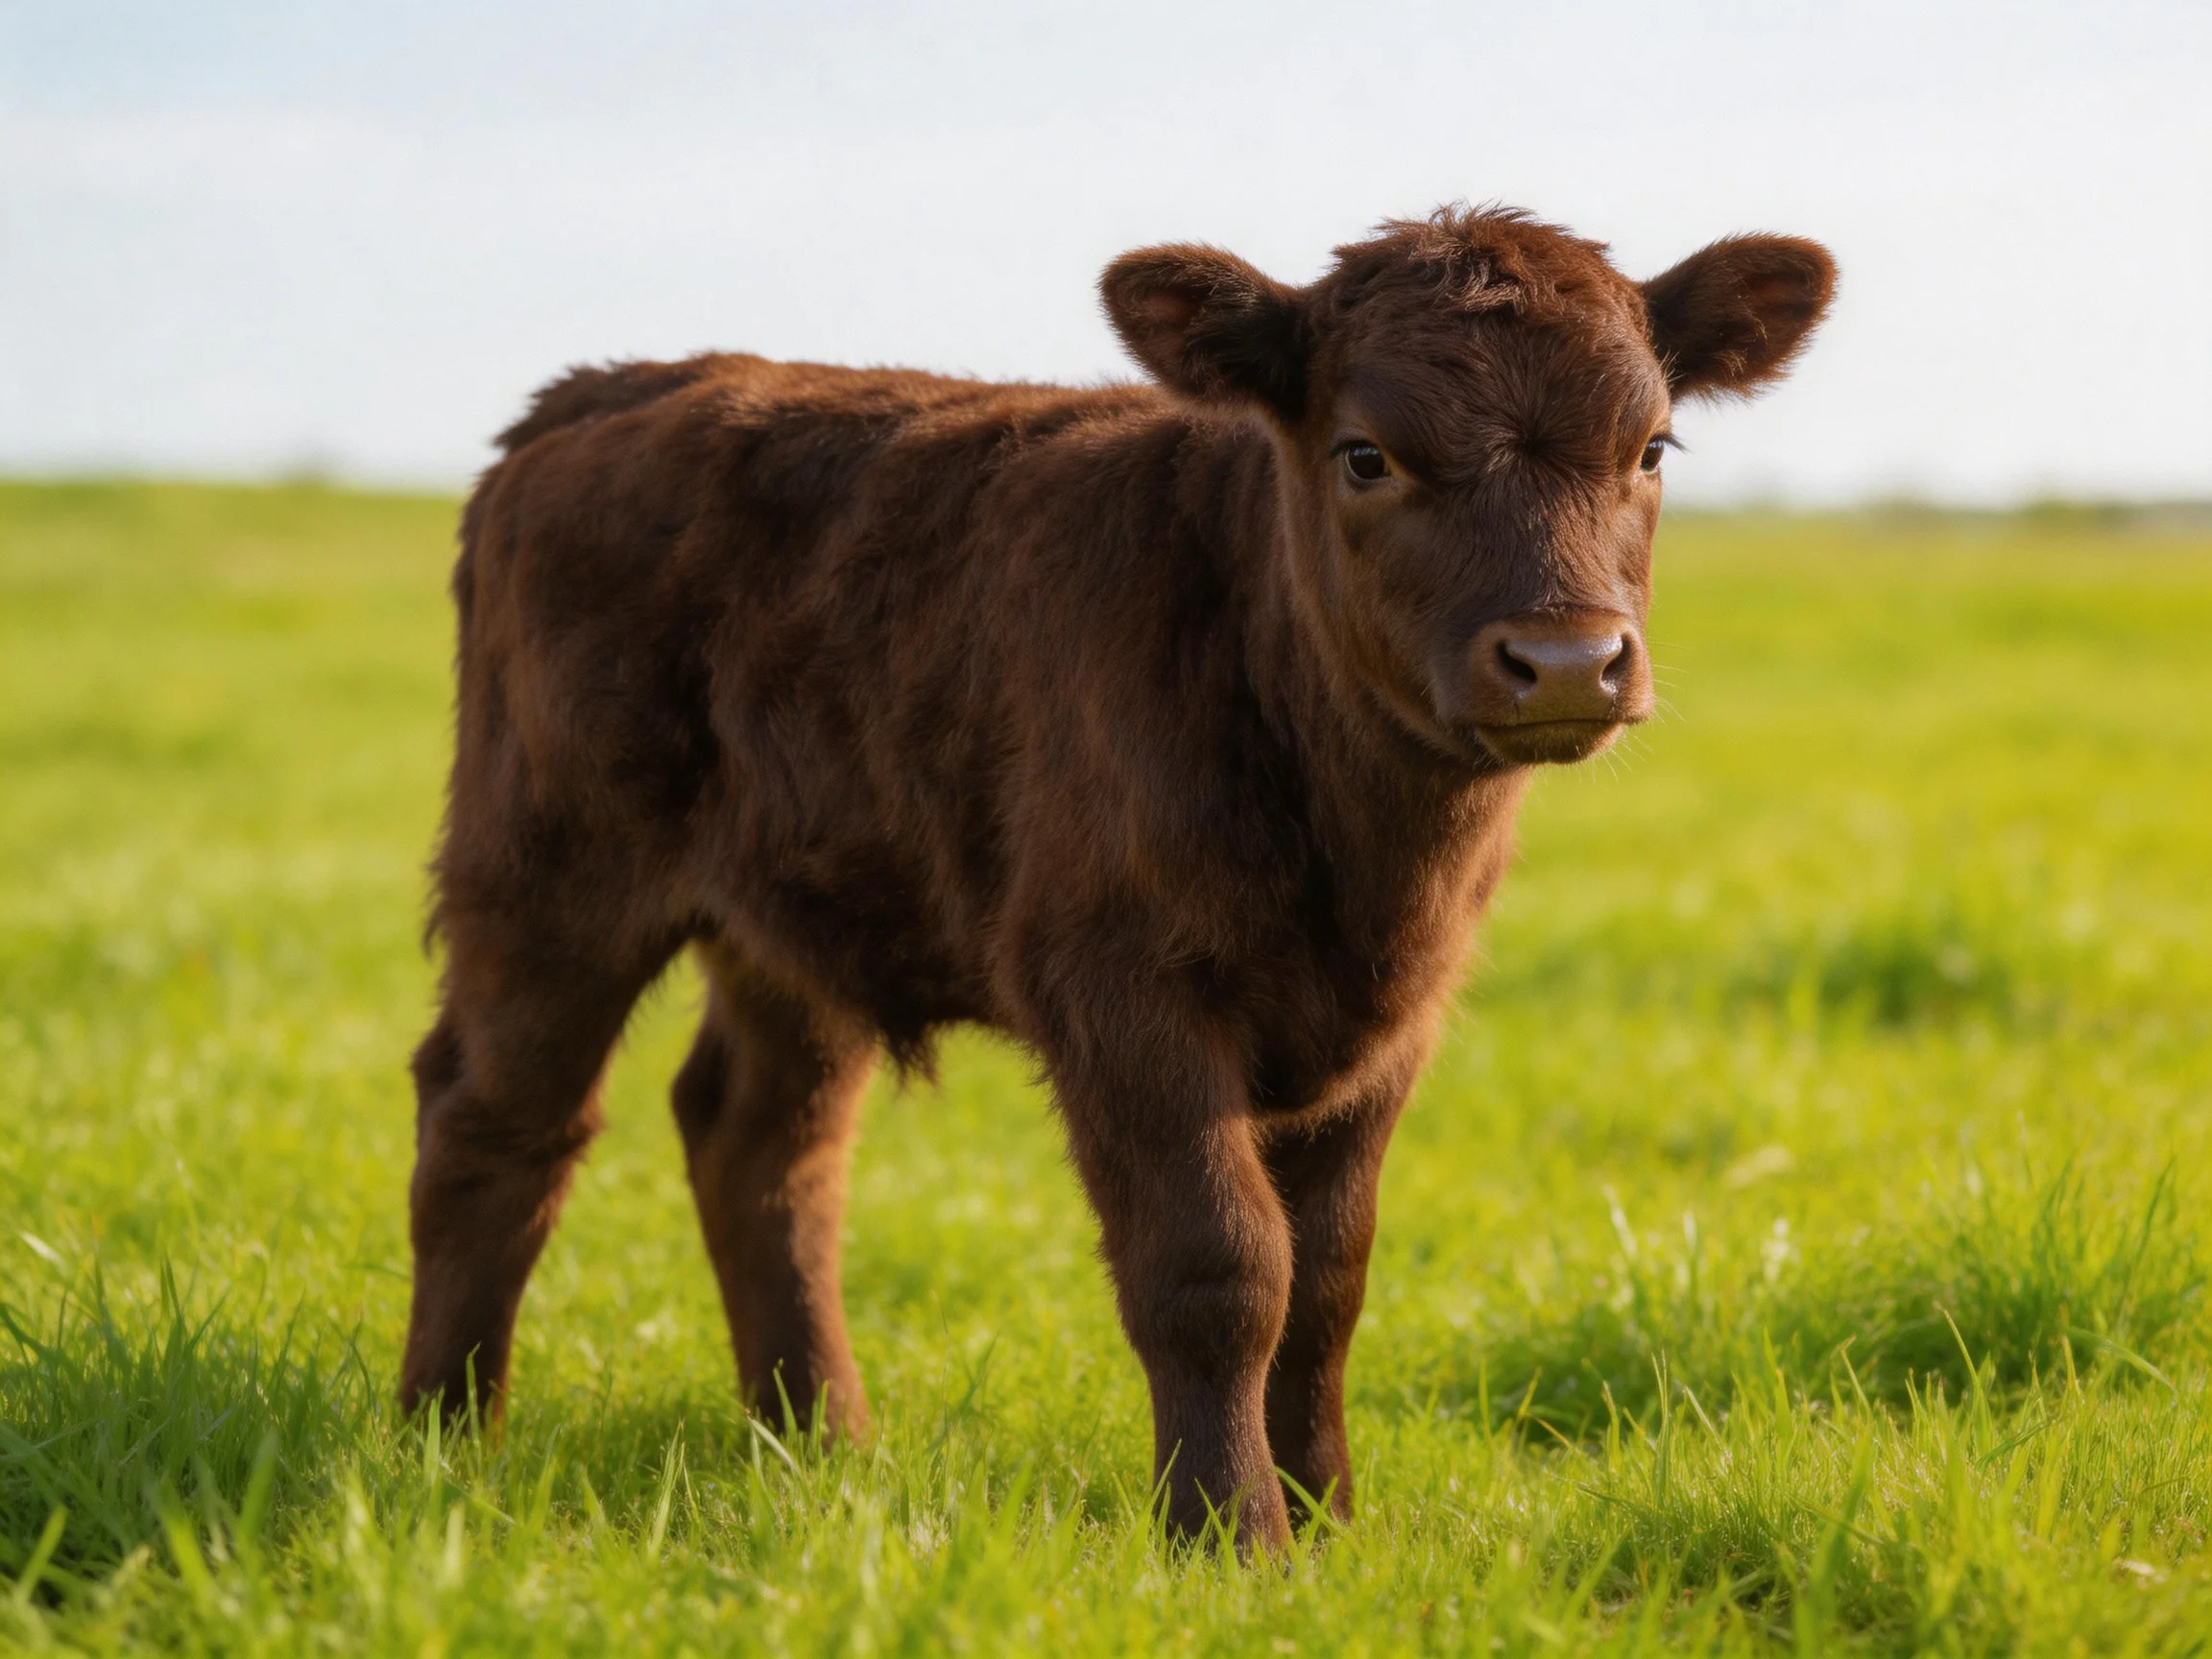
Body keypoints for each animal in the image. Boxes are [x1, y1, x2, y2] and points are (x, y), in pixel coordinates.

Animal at [400, 205, 1834, 1550]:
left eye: (1651, 449)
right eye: (1366, 453)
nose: (1567, 659)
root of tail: (613, 386)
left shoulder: (1392, 1023)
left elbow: (1329, 1281)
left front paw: (1329, 1519)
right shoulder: (1121, 987)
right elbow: (1220, 1268)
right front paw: (1231, 1537)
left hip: (797, 916)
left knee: (764, 1141)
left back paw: (817, 1442)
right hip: (546, 874)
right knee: (496, 1122)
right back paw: (443, 1439)